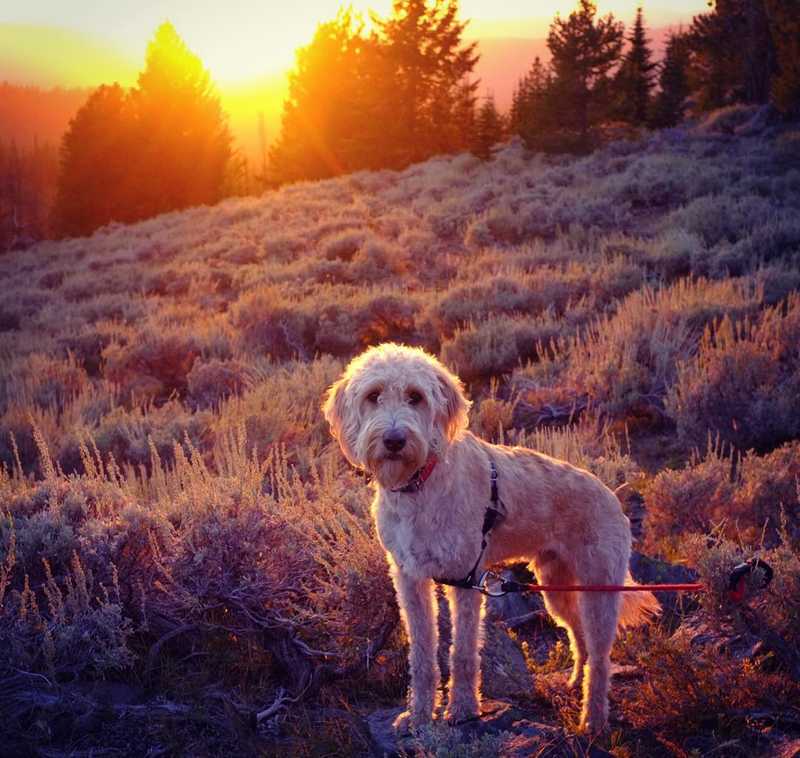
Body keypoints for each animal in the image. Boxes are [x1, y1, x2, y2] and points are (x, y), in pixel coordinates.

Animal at [322, 344, 660, 736]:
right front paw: (419, 714)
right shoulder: (410, 579)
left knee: (602, 657)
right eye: (373, 395)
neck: (421, 482)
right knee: (579, 636)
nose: (394, 440)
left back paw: (593, 718)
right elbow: (421, 652)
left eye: (415, 397)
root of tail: (612, 495)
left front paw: (463, 709)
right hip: (557, 587)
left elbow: (464, 652)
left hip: (599, 589)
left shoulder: (465, 578)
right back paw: (576, 682)